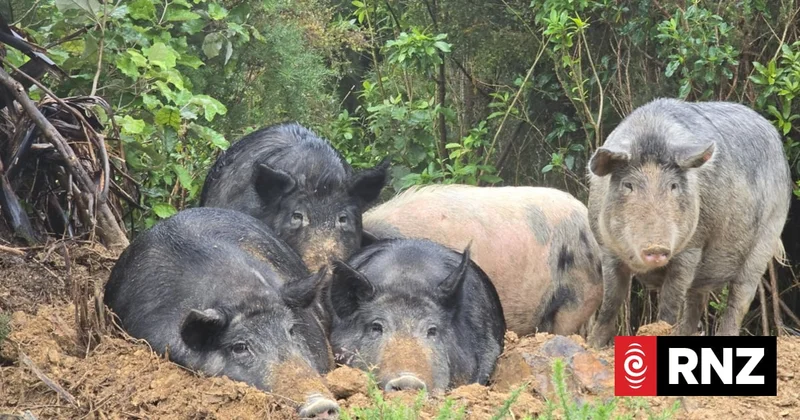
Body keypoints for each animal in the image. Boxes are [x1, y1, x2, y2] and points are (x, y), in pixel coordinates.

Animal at [586, 98, 791, 347]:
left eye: (673, 186)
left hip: (768, 234)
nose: (656, 247)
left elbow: (670, 303)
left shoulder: (692, 248)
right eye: (628, 185)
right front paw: (592, 345)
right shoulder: (606, 247)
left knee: (739, 297)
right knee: (696, 299)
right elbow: (611, 300)